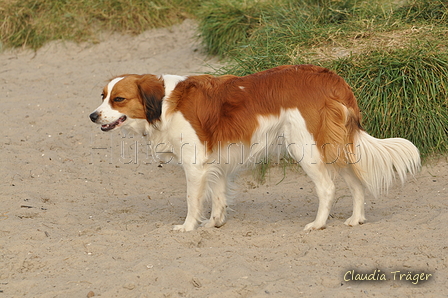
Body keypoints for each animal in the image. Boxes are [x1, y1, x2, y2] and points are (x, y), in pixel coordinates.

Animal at [88, 65, 420, 232]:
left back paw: (318, 224)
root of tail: (332, 78)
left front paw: (188, 226)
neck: (165, 103)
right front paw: (215, 223)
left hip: (305, 146)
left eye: (118, 99)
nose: (92, 116)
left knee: (328, 187)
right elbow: (218, 196)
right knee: (356, 183)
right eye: (103, 96)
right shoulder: (216, 161)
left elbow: (193, 200)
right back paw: (355, 219)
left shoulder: (194, 165)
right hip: (333, 146)